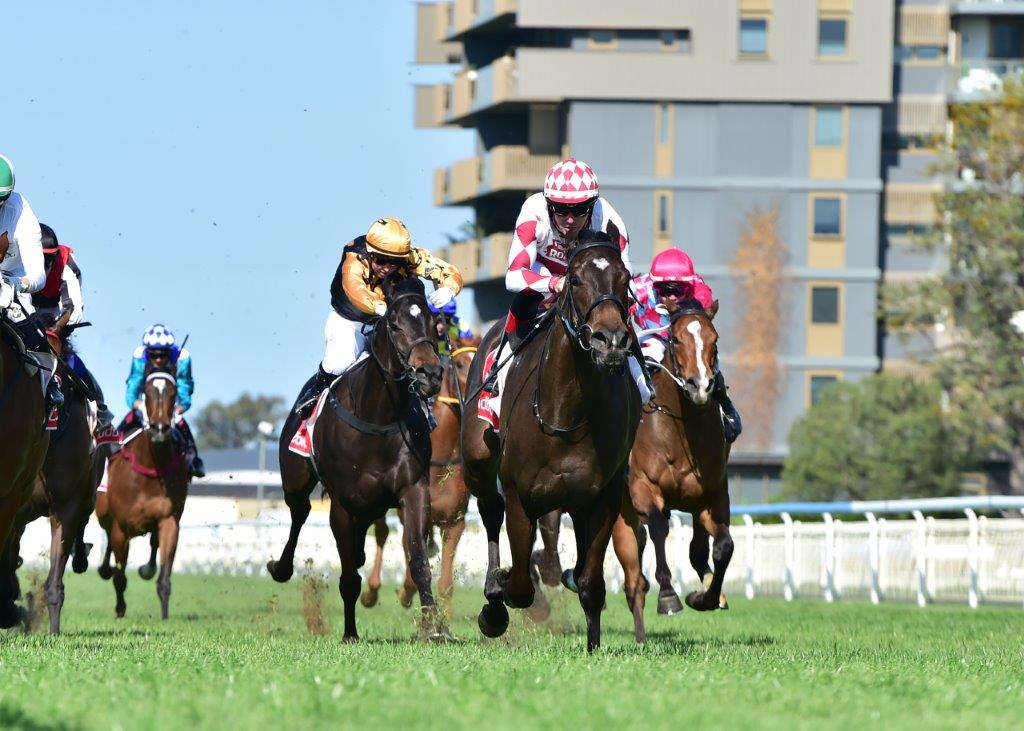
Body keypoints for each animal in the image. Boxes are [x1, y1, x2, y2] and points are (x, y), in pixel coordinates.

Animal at [97, 358, 192, 614]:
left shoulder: (169, 520)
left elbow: (164, 575)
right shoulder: (121, 527)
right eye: (147, 392)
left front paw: (165, 613)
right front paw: (120, 608)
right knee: (108, 539)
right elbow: (120, 576)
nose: (160, 428)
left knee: (152, 542)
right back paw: (105, 569)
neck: (151, 469)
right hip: (104, 514)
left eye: (173, 393)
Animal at [268, 278, 448, 638]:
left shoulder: (413, 488)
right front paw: (350, 633)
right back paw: (280, 567)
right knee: (300, 511)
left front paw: (434, 627)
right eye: (394, 325)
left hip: (372, 504)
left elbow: (419, 560)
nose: (429, 374)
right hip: (295, 480)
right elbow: (349, 577)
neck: (377, 415)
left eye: (432, 323)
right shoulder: (342, 503)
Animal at [362, 335, 481, 614]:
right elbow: (411, 561)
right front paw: (404, 592)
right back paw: (371, 591)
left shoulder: (455, 522)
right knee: (381, 532)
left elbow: (446, 582)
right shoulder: (410, 514)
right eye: (460, 364)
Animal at [460, 227, 634, 651]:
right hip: (477, 460)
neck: (566, 413)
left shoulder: (603, 496)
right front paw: (498, 598)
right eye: (575, 279)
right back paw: (494, 591)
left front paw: (593, 646)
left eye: (624, 279)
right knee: (490, 509)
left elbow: (591, 584)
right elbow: (520, 586)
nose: (610, 341)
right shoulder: (521, 496)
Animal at [610, 296, 733, 638]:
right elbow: (659, 529)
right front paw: (668, 596)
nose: (700, 386)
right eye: (675, 339)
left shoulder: (712, 496)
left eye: (715, 340)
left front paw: (705, 597)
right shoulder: (644, 487)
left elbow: (723, 547)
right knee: (633, 574)